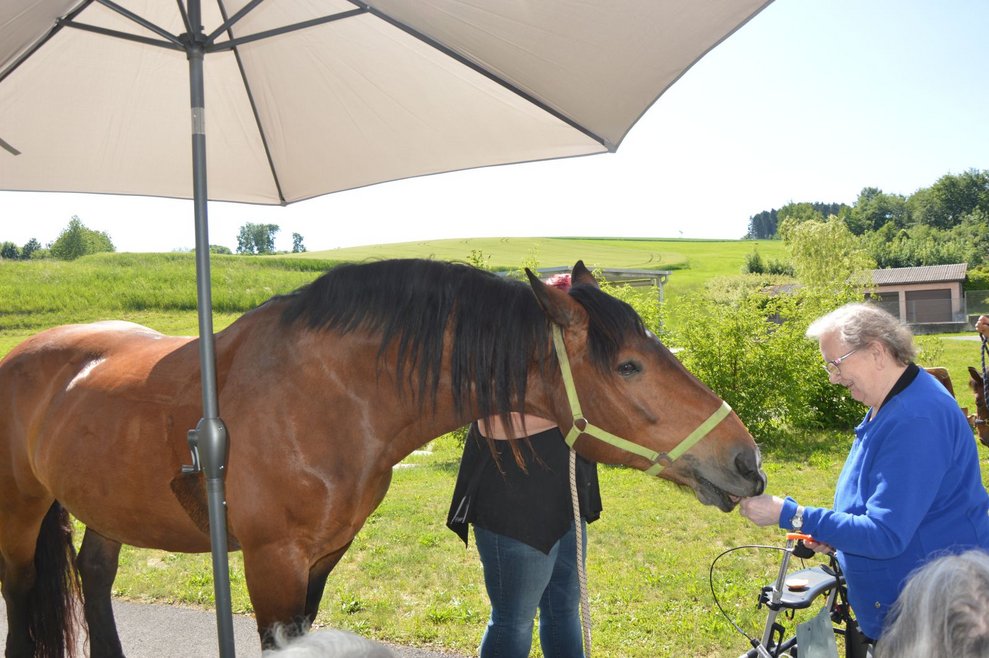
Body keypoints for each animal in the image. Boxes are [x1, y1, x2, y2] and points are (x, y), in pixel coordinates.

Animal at [0, 259, 766, 657]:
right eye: (630, 366)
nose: (745, 460)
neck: (322, 396)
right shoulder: (271, 564)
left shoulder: (322, 559)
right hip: (21, 513)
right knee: (20, 590)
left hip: (106, 510)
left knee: (94, 578)